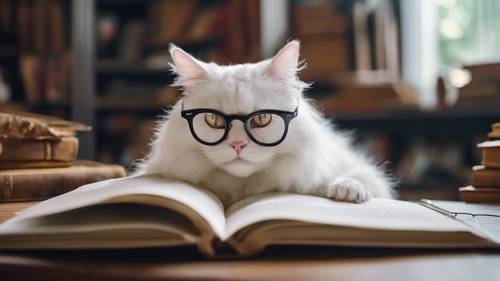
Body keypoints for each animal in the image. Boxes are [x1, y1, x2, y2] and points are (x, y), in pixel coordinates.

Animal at [139, 40, 392, 206]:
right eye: (214, 120)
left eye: (262, 119)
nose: (237, 145)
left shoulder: (358, 170)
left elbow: (361, 178)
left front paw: (346, 191)